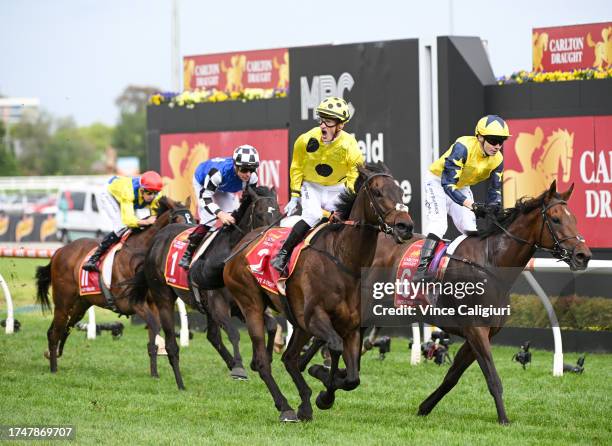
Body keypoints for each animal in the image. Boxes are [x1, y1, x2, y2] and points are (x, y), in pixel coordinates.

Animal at [34, 197, 192, 374]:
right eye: (177, 219)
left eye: (194, 219)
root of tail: (59, 251)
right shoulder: (131, 302)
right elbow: (154, 325)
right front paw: (165, 350)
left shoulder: (153, 304)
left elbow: (153, 338)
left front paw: (155, 374)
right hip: (63, 302)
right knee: (55, 332)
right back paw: (53, 368)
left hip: (81, 304)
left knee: (64, 328)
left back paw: (52, 354)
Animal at [130, 183, 284, 388]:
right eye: (259, 214)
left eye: (278, 213)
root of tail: (157, 237)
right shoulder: (219, 305)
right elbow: (234, 333)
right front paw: (240, 367)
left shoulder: (242, 305)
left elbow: (272, 325)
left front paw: (260, 359)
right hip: (163, 298)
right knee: (171, 344)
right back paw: (181, 384)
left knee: (212, 336)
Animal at [222, 164, 414, 422]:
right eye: (377, 192)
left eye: (401, 192)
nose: (406, 227)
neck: (342, 259)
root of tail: (241, 244)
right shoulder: (315, 318)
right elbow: (334, 348)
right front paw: (323, 386)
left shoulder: (350, 327)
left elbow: (353, 378)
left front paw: (323, 390)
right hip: (251, 304)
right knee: (264, 362)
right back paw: (285, 407)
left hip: (298, 323)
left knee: (289, 358)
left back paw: (304, 404)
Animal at [366, 179, 592, 424]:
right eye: (556, 219)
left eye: (575, 219)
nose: (583, 255)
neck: (491, 263)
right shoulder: (476, 329)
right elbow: (493, 378)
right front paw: (504, 420)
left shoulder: (482, 333)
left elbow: (452, 376)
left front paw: (424, 407)